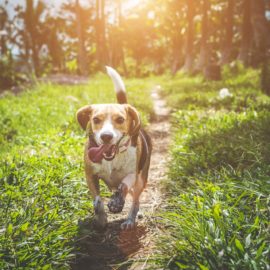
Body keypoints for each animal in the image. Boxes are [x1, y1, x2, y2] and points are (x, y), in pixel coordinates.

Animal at [76, 66, 152, 229]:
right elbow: (97, 200)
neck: (113, 158)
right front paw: (101, 218)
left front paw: (117, 202)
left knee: (135, 200)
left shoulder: (132, 174)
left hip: (141, 180)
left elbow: (123, 185)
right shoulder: (90, 175)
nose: (106, 136)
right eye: (96, 119)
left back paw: (130, 219)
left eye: (120, 119)